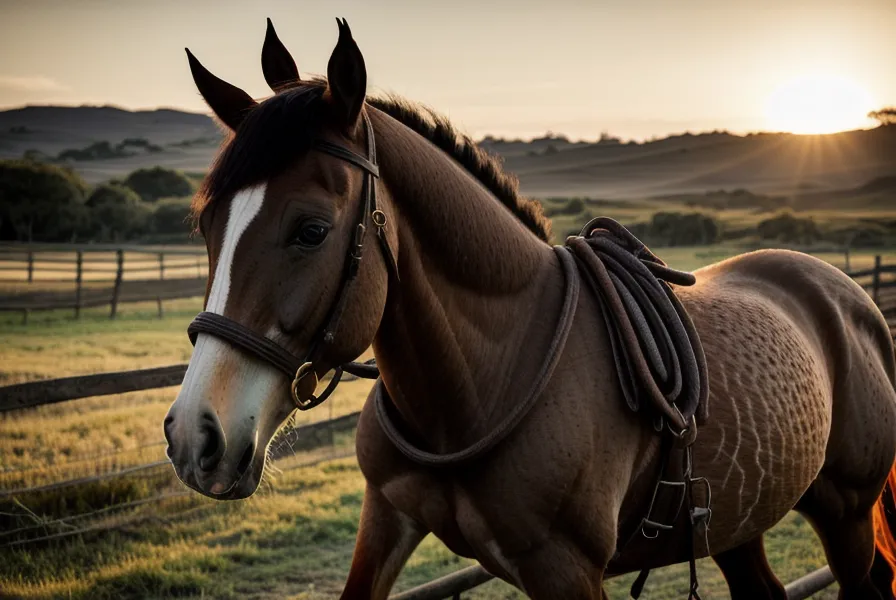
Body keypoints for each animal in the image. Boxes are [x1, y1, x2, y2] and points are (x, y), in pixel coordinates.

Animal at [163, 18, 896, 599]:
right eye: (206, 226)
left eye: (311, 230)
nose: (197, 437)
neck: (485, 381)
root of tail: (847, 295)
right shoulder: (385, 520)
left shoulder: (565, 570)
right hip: (738, 520)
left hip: (847, 512)